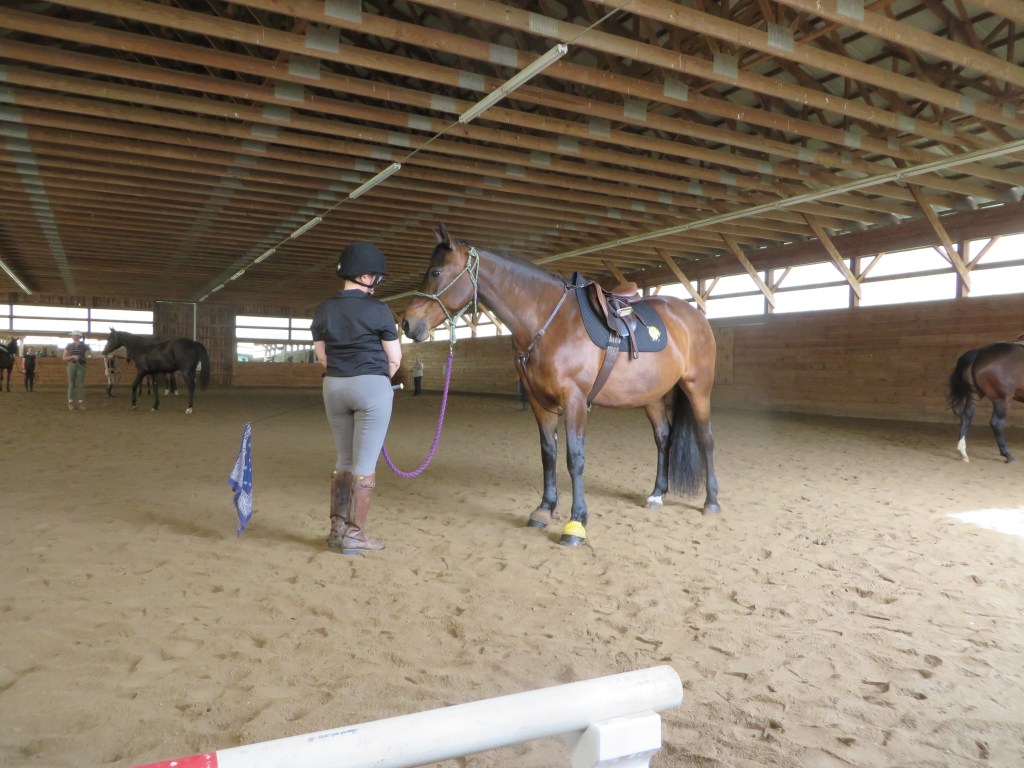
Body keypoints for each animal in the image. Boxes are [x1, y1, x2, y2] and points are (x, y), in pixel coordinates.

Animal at [401, 224, 720, 546]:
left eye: (436, 272)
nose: (407, 323)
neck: (550, 321)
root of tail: (694, 315)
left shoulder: (575, 400)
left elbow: (574, 458)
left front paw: (576, 522)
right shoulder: (540, 402)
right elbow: (548, 454)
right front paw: (544, 509)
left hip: (698, 388)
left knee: (706, 438)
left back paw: (711, 501)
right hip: (652, 396)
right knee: (663, 437)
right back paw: (657, 494)